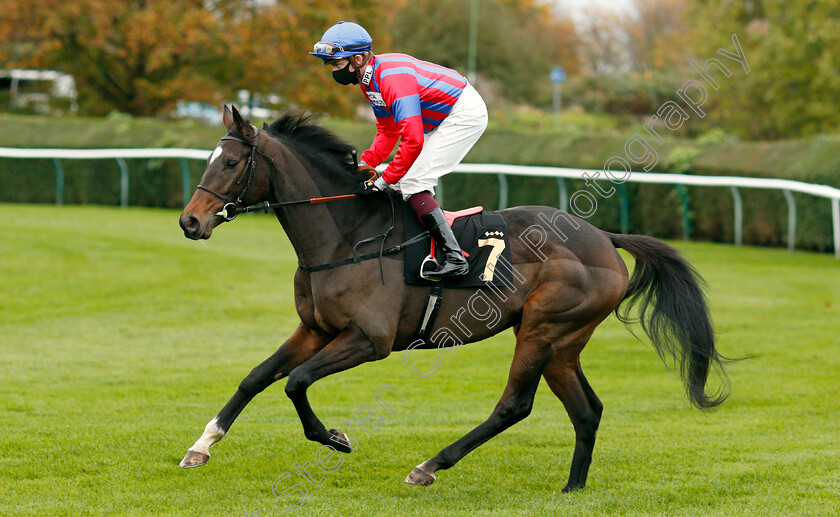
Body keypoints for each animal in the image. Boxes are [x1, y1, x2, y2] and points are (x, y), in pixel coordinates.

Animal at [177, 104, 728, 488]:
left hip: (542, 329)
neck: (344, 237)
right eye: (209, 159)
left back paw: (429, 466)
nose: (190, 221)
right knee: (587, 409)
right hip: (563, 344)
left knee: (513, 406)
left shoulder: (370, 340)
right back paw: (572, 488)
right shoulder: (315, 329)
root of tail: (605, 239)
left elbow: (296, 382)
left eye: (230, 161)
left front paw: (334, 438)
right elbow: (256, 378)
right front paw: (201, 446)